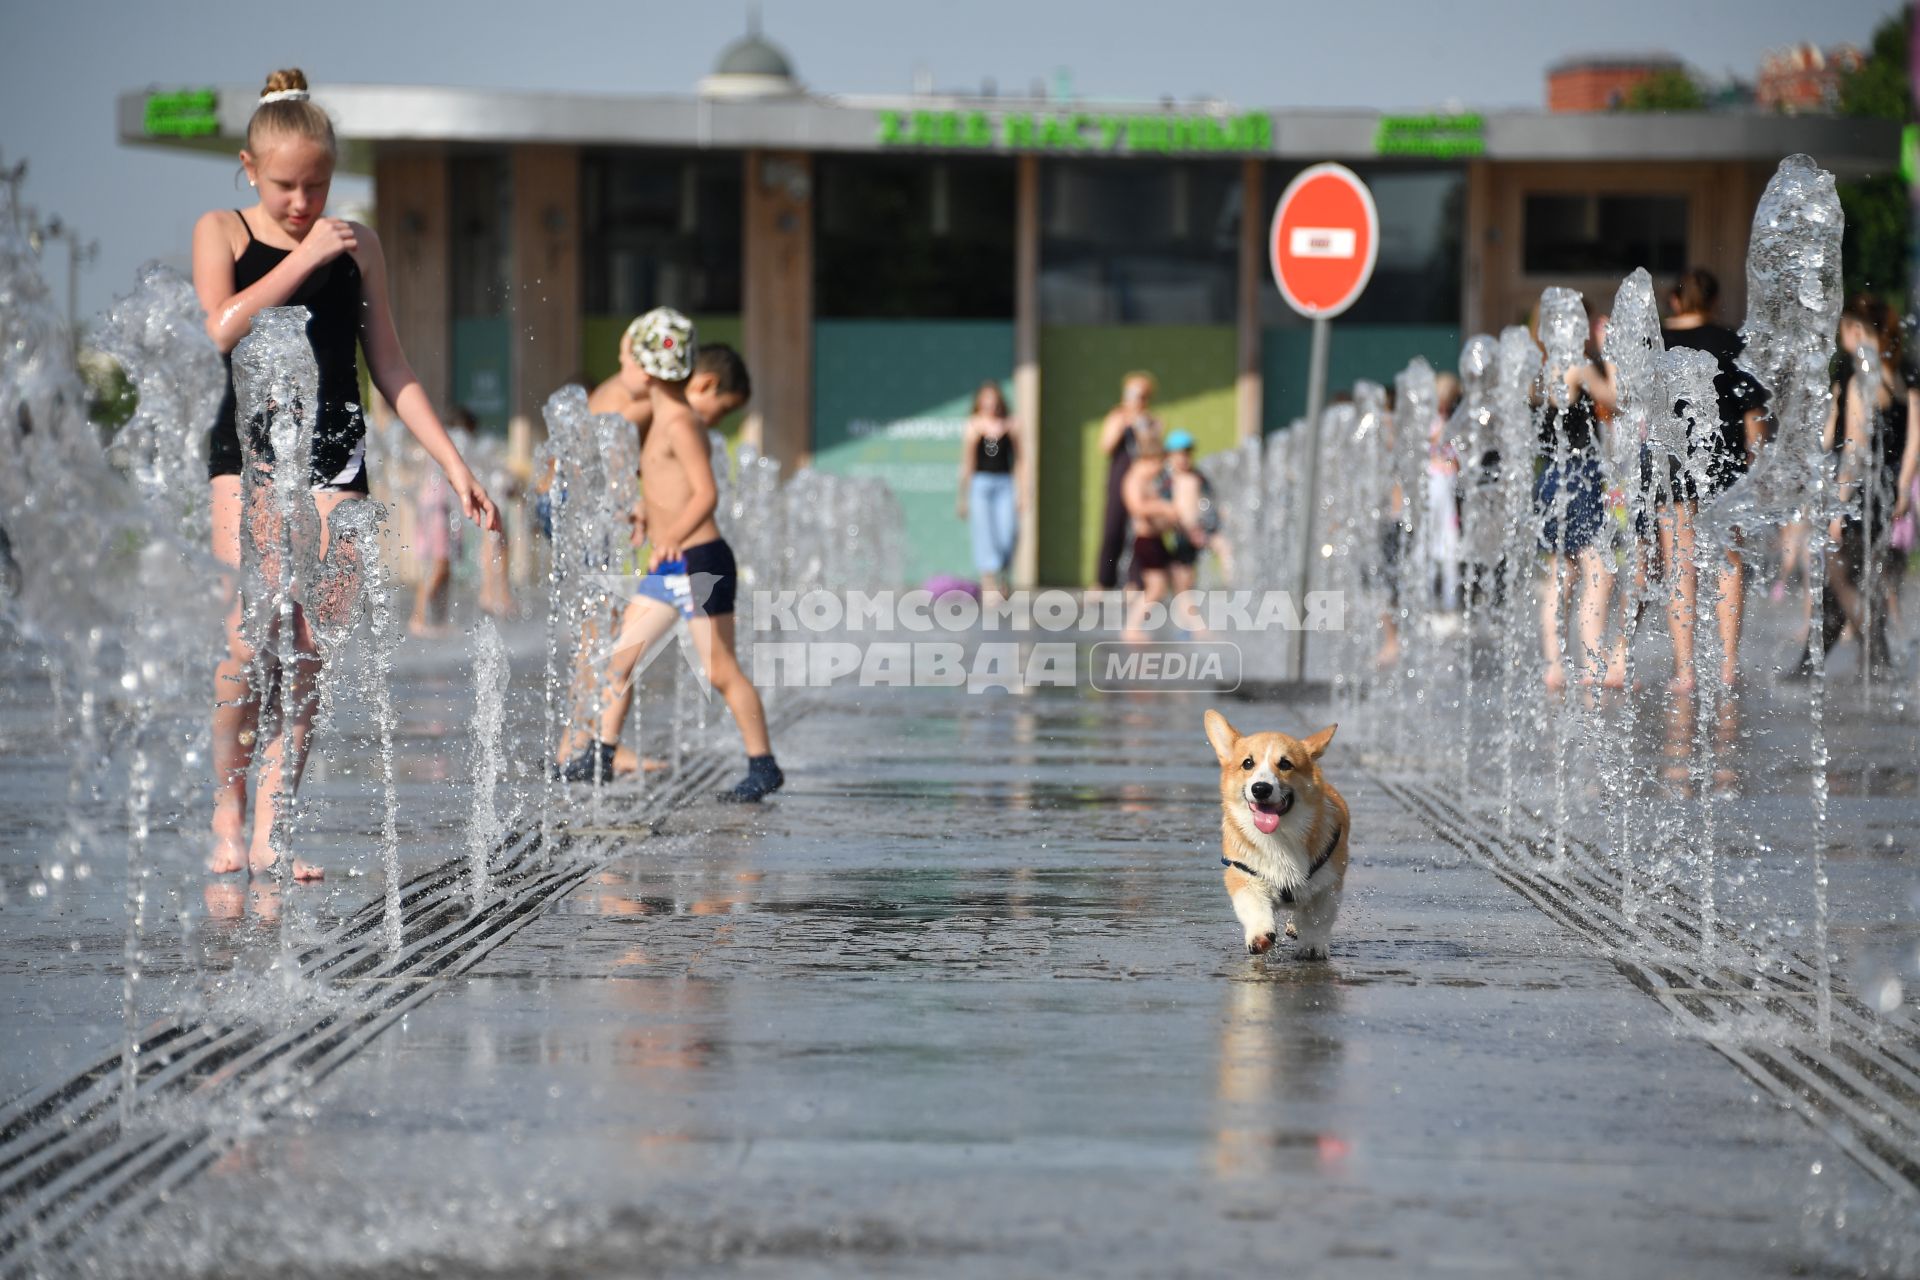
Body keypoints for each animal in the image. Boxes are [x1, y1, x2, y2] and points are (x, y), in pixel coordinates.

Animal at [1198, 710, 1351, 959]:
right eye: (1247, 763)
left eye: (1285, 764)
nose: (1261, 788)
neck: (1279, 838)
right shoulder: (1243, 875)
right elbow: (1253, 906)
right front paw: (1259, 936)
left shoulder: (1328, 885)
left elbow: (1317, 920)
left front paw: (1312, 947)